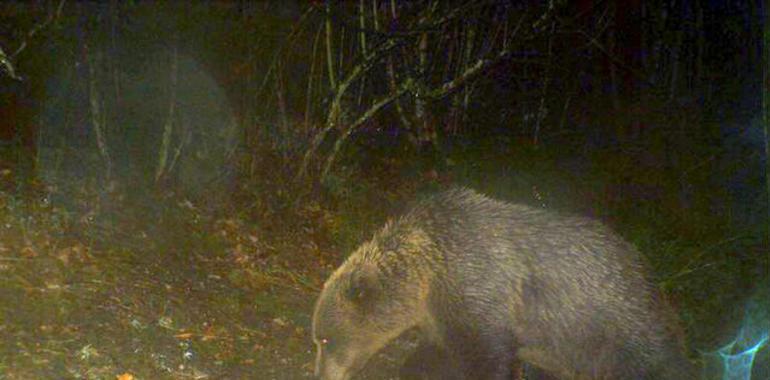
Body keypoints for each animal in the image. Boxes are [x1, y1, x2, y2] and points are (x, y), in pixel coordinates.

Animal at [308, 188, 692, 380]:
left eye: (325, 339)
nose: (320, 376)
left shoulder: (481, 290)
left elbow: (489, 358)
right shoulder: (443, 314)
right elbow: (433, 353)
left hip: (619, 332)